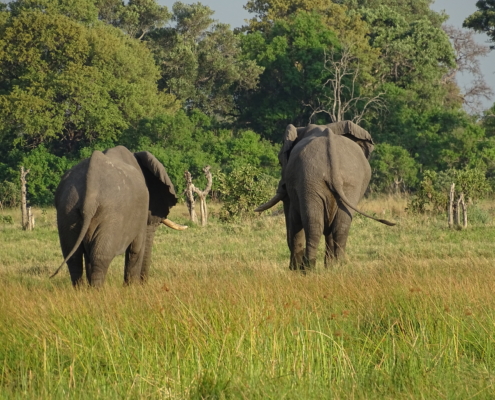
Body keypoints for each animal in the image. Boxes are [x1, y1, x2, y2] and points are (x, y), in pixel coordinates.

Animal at [51, 145, 188, 286]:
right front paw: (132, 288)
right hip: (111, 214)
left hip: (68, 208)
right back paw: (97, 290)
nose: (144, 283)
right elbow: (137, 247)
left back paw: (82, 290)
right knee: (100, 256)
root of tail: (91, 191)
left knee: (74, 257)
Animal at [256, 122, 396, 270]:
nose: (281, 186)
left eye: (280, 162)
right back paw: (339, 266)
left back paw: (308, 269)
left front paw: (295, 270)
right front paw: (329, 267)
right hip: (349, 182)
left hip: (310, 179)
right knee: (341, 225)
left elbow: (295, 220)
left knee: (313, 224)